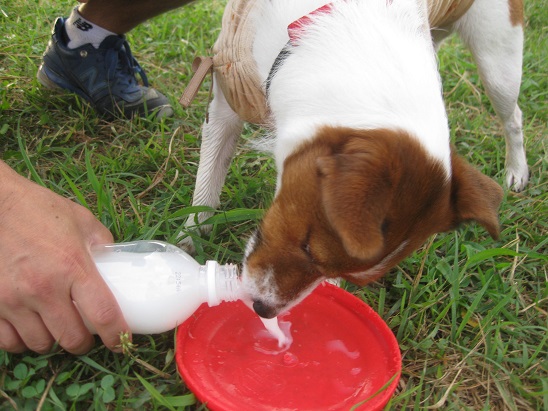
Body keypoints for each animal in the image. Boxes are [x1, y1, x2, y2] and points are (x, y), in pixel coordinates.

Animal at [180, 0, 528, 318]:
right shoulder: (226, 97)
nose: (263, 310)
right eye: (307, 246)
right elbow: (207, 184)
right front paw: (188, 237)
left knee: (513, 116)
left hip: (499, 62)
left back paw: (517, 170)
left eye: (338, 272)